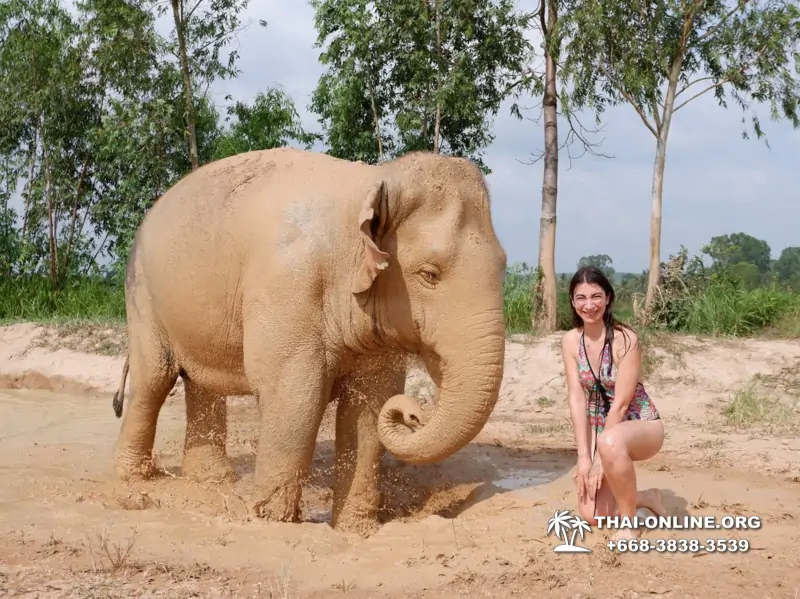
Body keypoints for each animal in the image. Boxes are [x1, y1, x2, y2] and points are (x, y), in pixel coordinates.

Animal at [110, 146, 507, 535]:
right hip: (142, 296)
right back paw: (134, 484)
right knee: (153, 381)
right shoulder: (287, 287)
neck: (373, 181)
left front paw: (354, 533)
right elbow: (296, 397)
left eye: (504, 266)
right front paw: (271, 521)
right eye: (429, 274)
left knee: (201, 384)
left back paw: (211, 481)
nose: (413, 413)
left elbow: (370, 406)